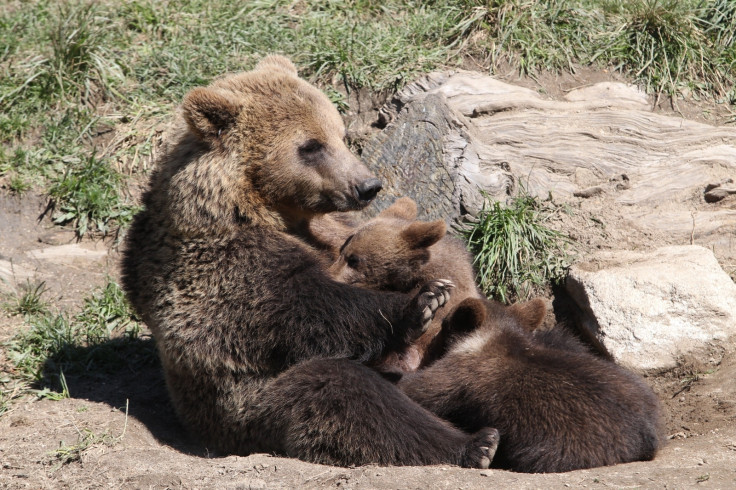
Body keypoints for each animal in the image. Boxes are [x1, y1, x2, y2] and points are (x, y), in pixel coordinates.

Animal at [122, 55, 500, 468]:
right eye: (311, 146)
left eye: (341, 134)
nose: (367, 186)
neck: (265, 207)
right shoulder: (220, 263)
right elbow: (302, 306)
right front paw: (422, 302)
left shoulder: (332, 228)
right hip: (253, 410)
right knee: (342, 393)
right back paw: (474, 444)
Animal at [396, 296, 668, 472]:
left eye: (443, 326)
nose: (428, 346)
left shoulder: (456, 376)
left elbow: (421, 389)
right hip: (639, 390)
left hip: (558, 446)